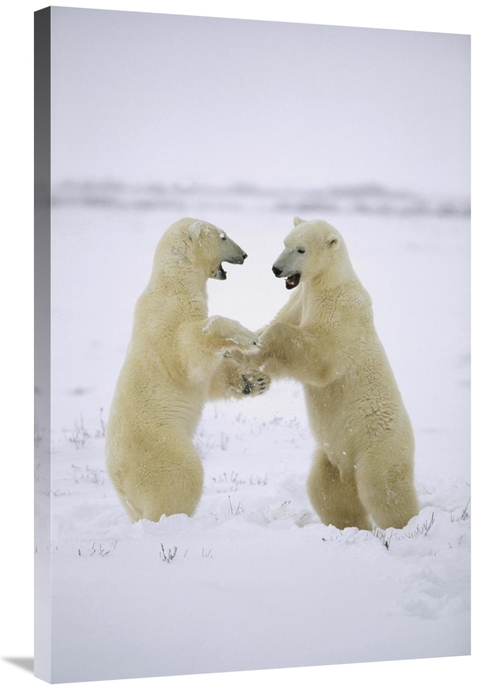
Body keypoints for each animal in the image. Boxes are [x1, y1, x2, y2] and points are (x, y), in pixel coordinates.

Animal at [106, 217, 269, 522]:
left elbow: (210, 377)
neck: (174, 282)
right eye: (223, 236)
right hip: (160, 448)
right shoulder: (168, 322)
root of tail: (119, 479)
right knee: (182, 476)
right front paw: (249, 336)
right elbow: (190, 357)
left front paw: (255, 381)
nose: (244, 254)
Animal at [256, 217, 419, 531]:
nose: (276, 269)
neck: (328, 282)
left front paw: (266, 341)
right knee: (326, 492)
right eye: (285, 242)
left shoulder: (341, 309)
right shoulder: (300, 299)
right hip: (333, 455)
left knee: (383, 488)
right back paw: (351, 527)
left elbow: (320, 354)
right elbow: (276, 322)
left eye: (301, 249)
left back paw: (407, 526)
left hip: (377, 444)